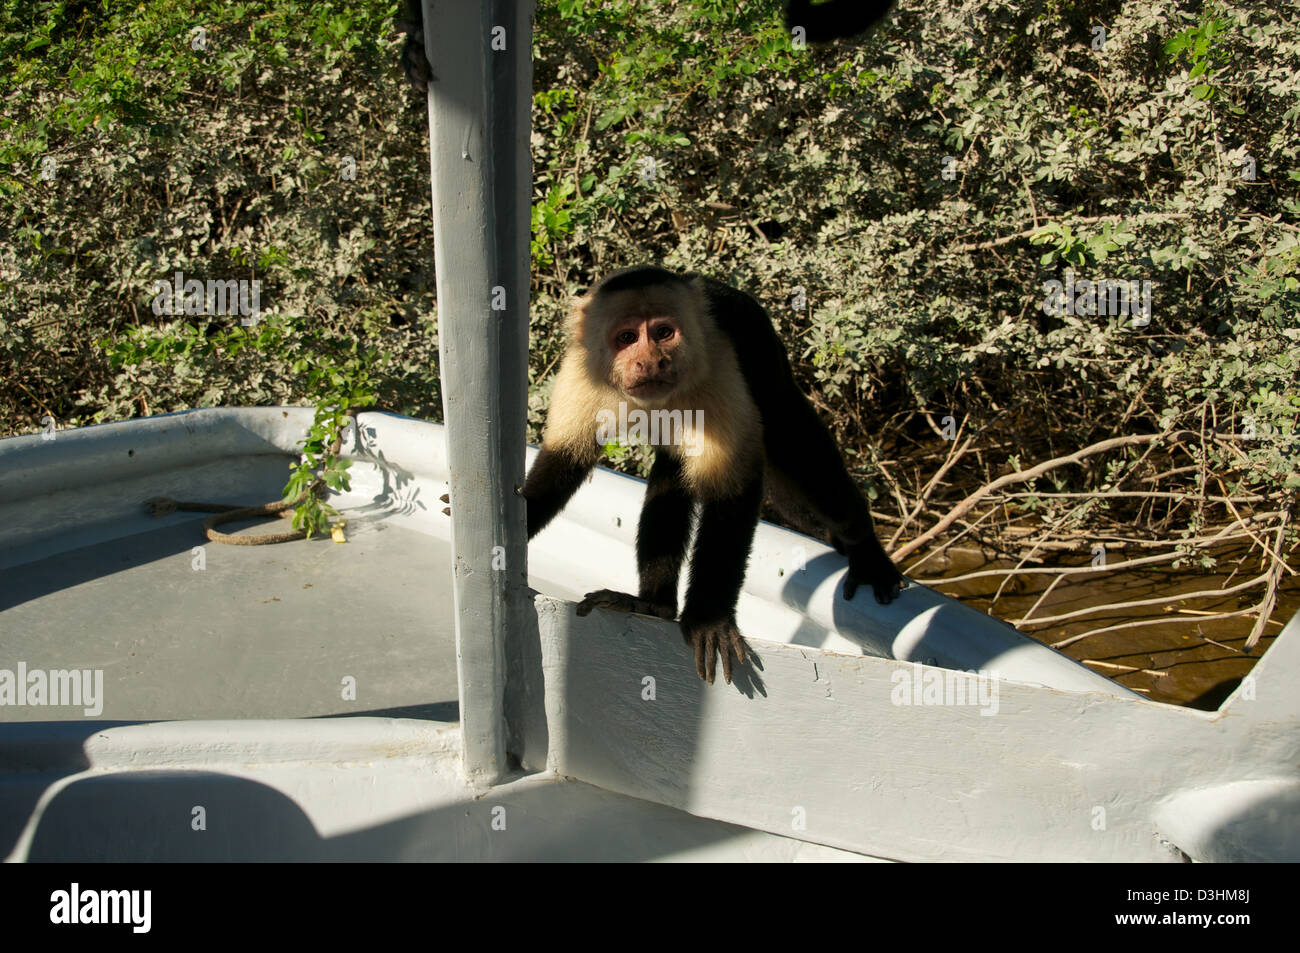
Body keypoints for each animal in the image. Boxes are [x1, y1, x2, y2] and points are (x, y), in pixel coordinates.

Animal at [522, 266, 905, 685]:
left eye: (663, 333)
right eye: (626, 338)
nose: (651, 361)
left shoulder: (718, 362)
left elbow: (732, 489)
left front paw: (708, 620)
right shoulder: (582, 370)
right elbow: (562, 463)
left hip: (762, 345)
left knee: (795, 441)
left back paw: (864, 548)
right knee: (672, 474)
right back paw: (652, 606)